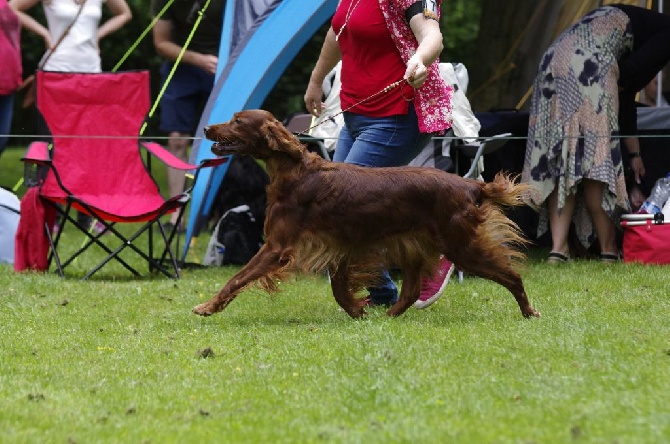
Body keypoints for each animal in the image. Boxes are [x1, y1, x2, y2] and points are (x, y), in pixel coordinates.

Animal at [194, 110, 540, 320]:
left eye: (238, 121)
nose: (207, 128)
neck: (295, 173)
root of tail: (471, 185)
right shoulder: (342, 244)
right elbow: (338, 287)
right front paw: (357, 311)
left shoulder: (277, 247)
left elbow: (237, 278)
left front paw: (207, 306)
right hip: (413, 247)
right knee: (411, 291)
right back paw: (388, 318)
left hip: (460, 246)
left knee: (512, 276)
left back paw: (529, 312)